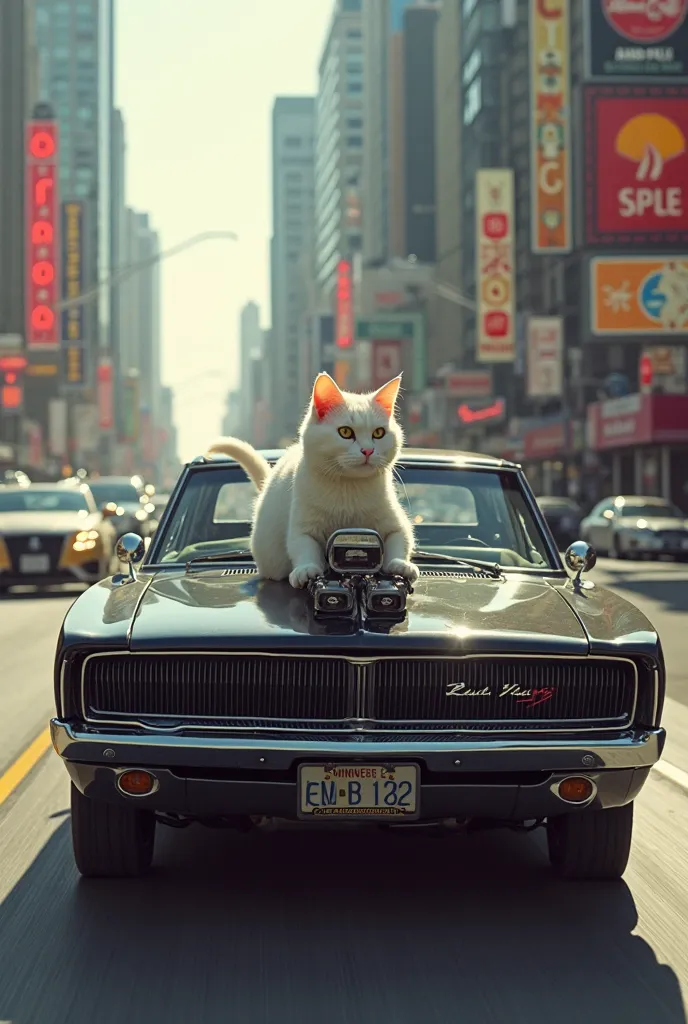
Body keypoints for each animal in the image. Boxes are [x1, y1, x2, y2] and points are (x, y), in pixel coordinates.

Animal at [205, 372, 419, 589]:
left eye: (378, 433)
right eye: (345, 432)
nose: (368, 450)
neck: (348, 487)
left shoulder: (394, 523)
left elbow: (399, 540)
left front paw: (401, 565)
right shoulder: (303, 525)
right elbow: (304, 546)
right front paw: (306, 570)